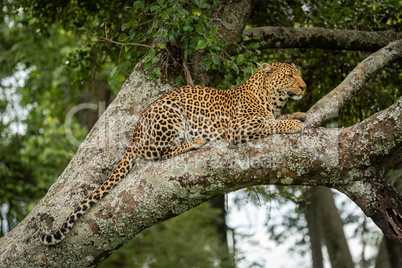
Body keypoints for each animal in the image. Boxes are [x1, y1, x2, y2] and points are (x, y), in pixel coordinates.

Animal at [39, 61, 306, 245]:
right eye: (290, 75)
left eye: (300, 74)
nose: (304, 86)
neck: (271, 99)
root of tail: (137, 126)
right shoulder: (239, 128)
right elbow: (271, 124)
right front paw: (293, 123)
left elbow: (275, 119)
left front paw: (298, 114)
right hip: (169, 116)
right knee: (156, 151)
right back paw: (195, 140)